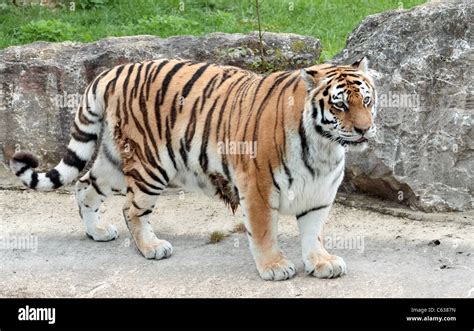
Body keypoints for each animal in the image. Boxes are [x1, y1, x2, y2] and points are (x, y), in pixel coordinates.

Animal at [9, 55, 376, 282]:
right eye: (340, 105)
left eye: (367, 101)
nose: (364, 129)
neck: (324, 146)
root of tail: (112, 71)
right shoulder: (257, 187)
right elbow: (263, 232)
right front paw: (274, 267)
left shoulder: (319, 193)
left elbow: (313, 233)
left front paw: (321, 262)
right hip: (150, 165)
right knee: (131, 209)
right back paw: (152, 248)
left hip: (112, 163)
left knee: (84, 186)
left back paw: (96, 232)